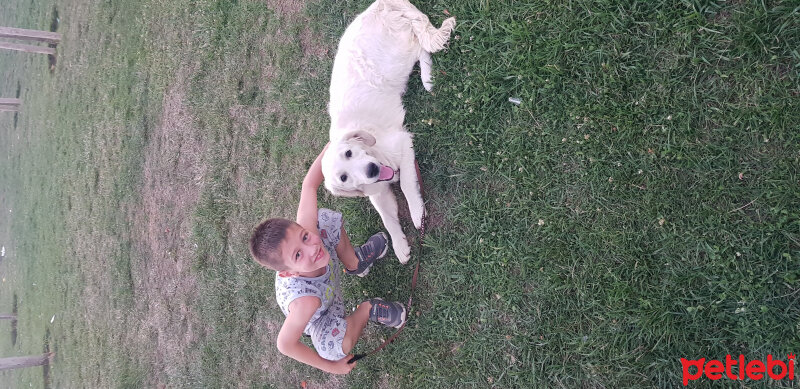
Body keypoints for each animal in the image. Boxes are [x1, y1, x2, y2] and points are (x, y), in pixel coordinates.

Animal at [320, 0, 456, 264]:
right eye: (344, 178)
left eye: (349, 153)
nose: (371, 170)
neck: (378, 154)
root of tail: (381, 4)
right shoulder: (376, 190)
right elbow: (387, 217)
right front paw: (399, 245)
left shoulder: (403, 142)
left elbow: (405, 184)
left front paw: (417, 213)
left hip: (398, 59)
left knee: (421, 45)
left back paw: (428, 78)